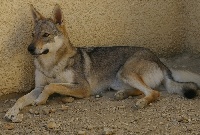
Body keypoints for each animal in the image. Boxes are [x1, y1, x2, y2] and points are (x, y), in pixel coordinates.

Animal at [3, 4, 199, 122]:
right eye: (32, 35)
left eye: (45, 35)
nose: (29, 48)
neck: (50, 65)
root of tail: (158, 59)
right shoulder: (37, 86)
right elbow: (22, 98)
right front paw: (12, 111)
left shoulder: (83, 88)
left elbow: (51, 86)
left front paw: (42, 100)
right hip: (119, 80)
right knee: (142, 90)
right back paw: (122, 95)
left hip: (125, 72)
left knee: (154, 92)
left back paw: (142, 102)